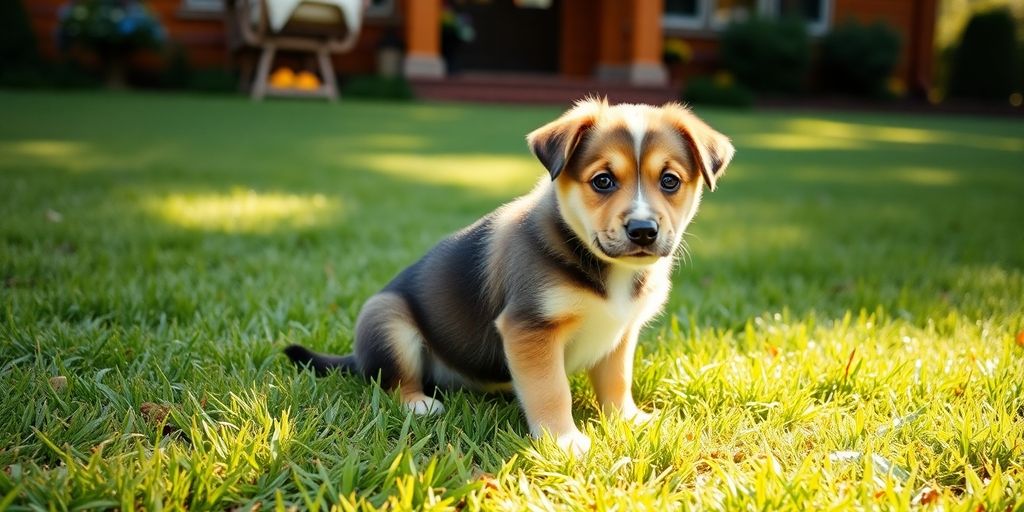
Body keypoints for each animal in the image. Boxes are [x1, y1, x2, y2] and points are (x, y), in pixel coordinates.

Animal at [288, 97, 733, 454]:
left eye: (670, 180)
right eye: (603, 181)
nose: (643, 231)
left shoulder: (620, 334)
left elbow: (617, 381)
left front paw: (628, 419)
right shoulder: (529, 328)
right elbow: (551, 390)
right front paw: (563, 441)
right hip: (387, 320)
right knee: (392, 380)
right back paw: (419, 403)